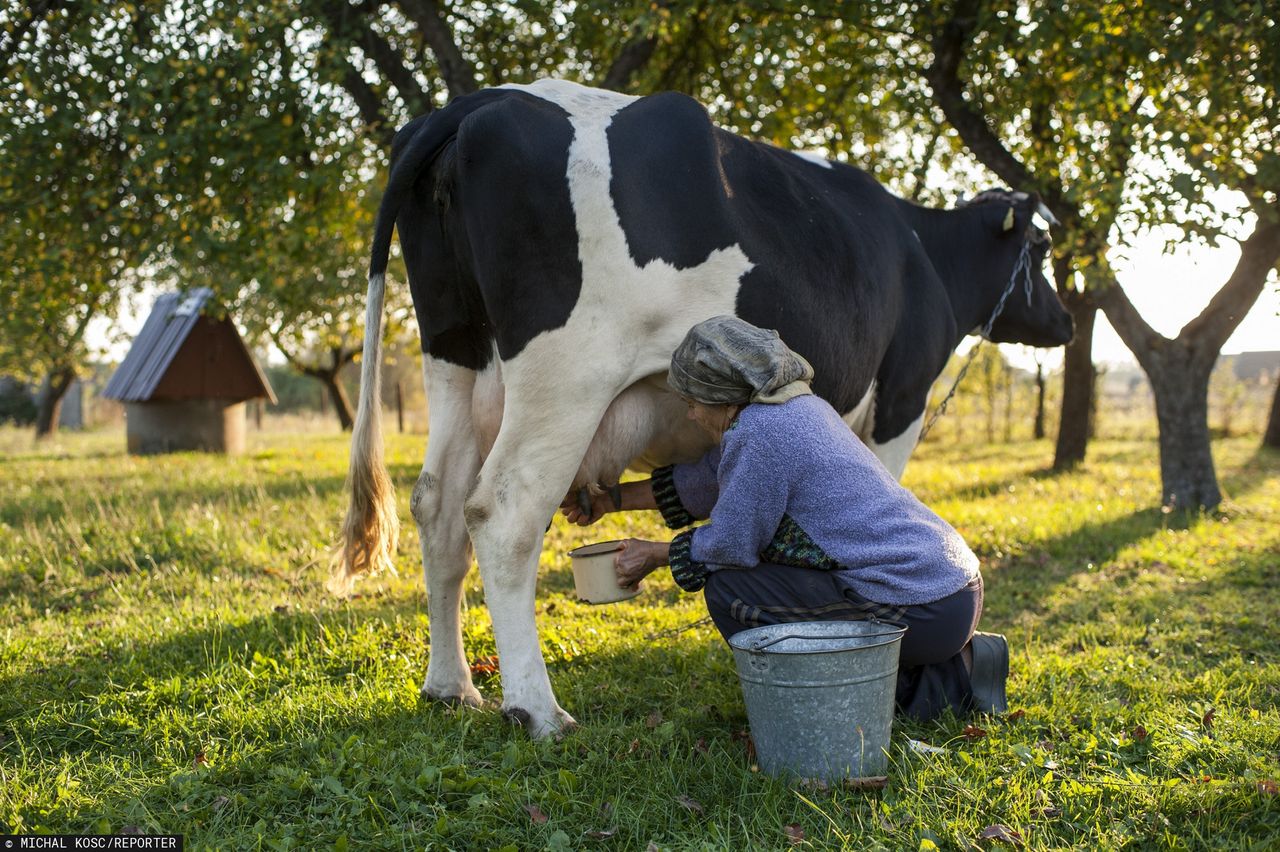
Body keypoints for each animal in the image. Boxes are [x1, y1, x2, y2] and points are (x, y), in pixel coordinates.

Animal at [337, 76, 1070, 731]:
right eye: (1042, 248)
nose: (1065, 322)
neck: (925, 254)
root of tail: (478, 101)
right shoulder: (901, 399)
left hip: (454, 356)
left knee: (437, 504)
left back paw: (451, 687)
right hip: (567, 374)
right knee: (503, 511)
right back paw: (537, 710)